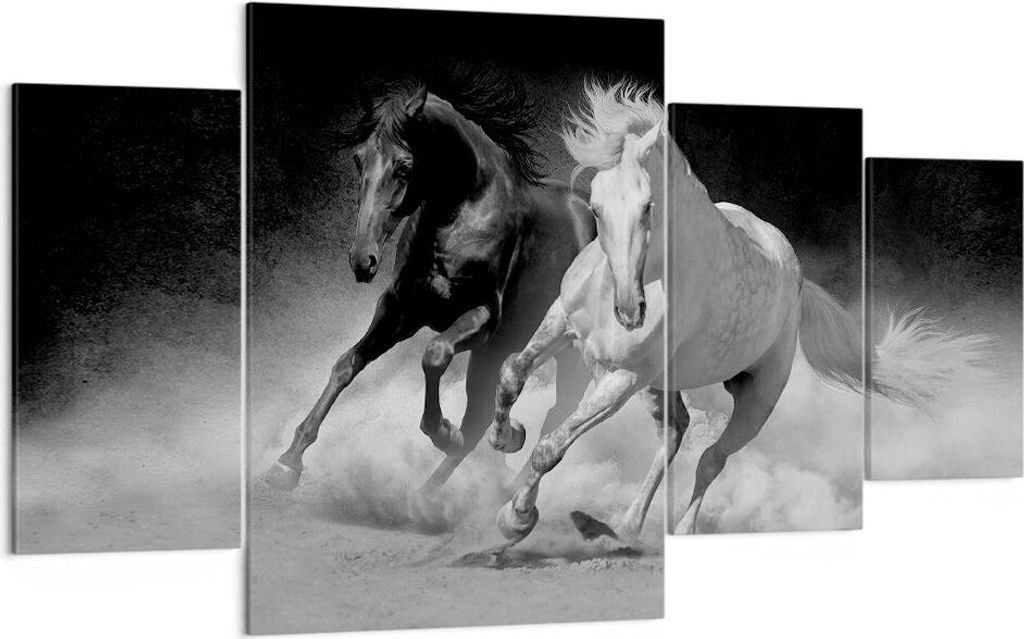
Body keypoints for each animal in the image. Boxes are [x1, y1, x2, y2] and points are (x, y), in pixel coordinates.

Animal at [264, 72, 595, 495]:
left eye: (404, 167)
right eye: (358, 160)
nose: (362, 260)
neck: (464, 215)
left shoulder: (483, 318)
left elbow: (434, 355)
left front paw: (443, 432)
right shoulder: (400, 309)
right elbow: (346, 364)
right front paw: (287, 462)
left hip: (559, 352)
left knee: (547, 413)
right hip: (502, 350)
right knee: (487, 417)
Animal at [484, 79, 988, 547]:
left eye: (648, 207)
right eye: (596, 206)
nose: (630, 312)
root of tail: (797, 282)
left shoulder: (621, 378)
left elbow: (552, 447)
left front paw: (516, 519)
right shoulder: (561, 322)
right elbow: (510, 374)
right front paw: (506, 438)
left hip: (757, 397)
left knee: (710, 458)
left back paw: (668, 529)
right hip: (663, 383)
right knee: (675, 433)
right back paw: (625, 527)